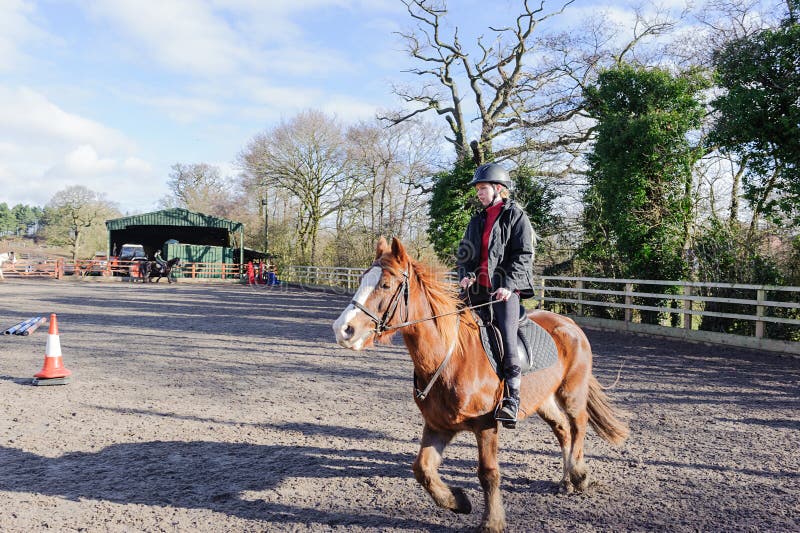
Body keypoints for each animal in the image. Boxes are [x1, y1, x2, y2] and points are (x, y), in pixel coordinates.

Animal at [332, 237, 629, 532]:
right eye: (362, 279)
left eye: (385, 285)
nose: (343, 330)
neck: (450, 357)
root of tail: (569, 323)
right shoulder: (438, 425)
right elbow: (422, 469)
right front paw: (457, 501)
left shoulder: (486, 425)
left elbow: (488, 473)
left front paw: (492, 521)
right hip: (542, 400)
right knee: (563, 430)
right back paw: (566, 481)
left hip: (571, 392)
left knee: (579, 425)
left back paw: (578, 474)